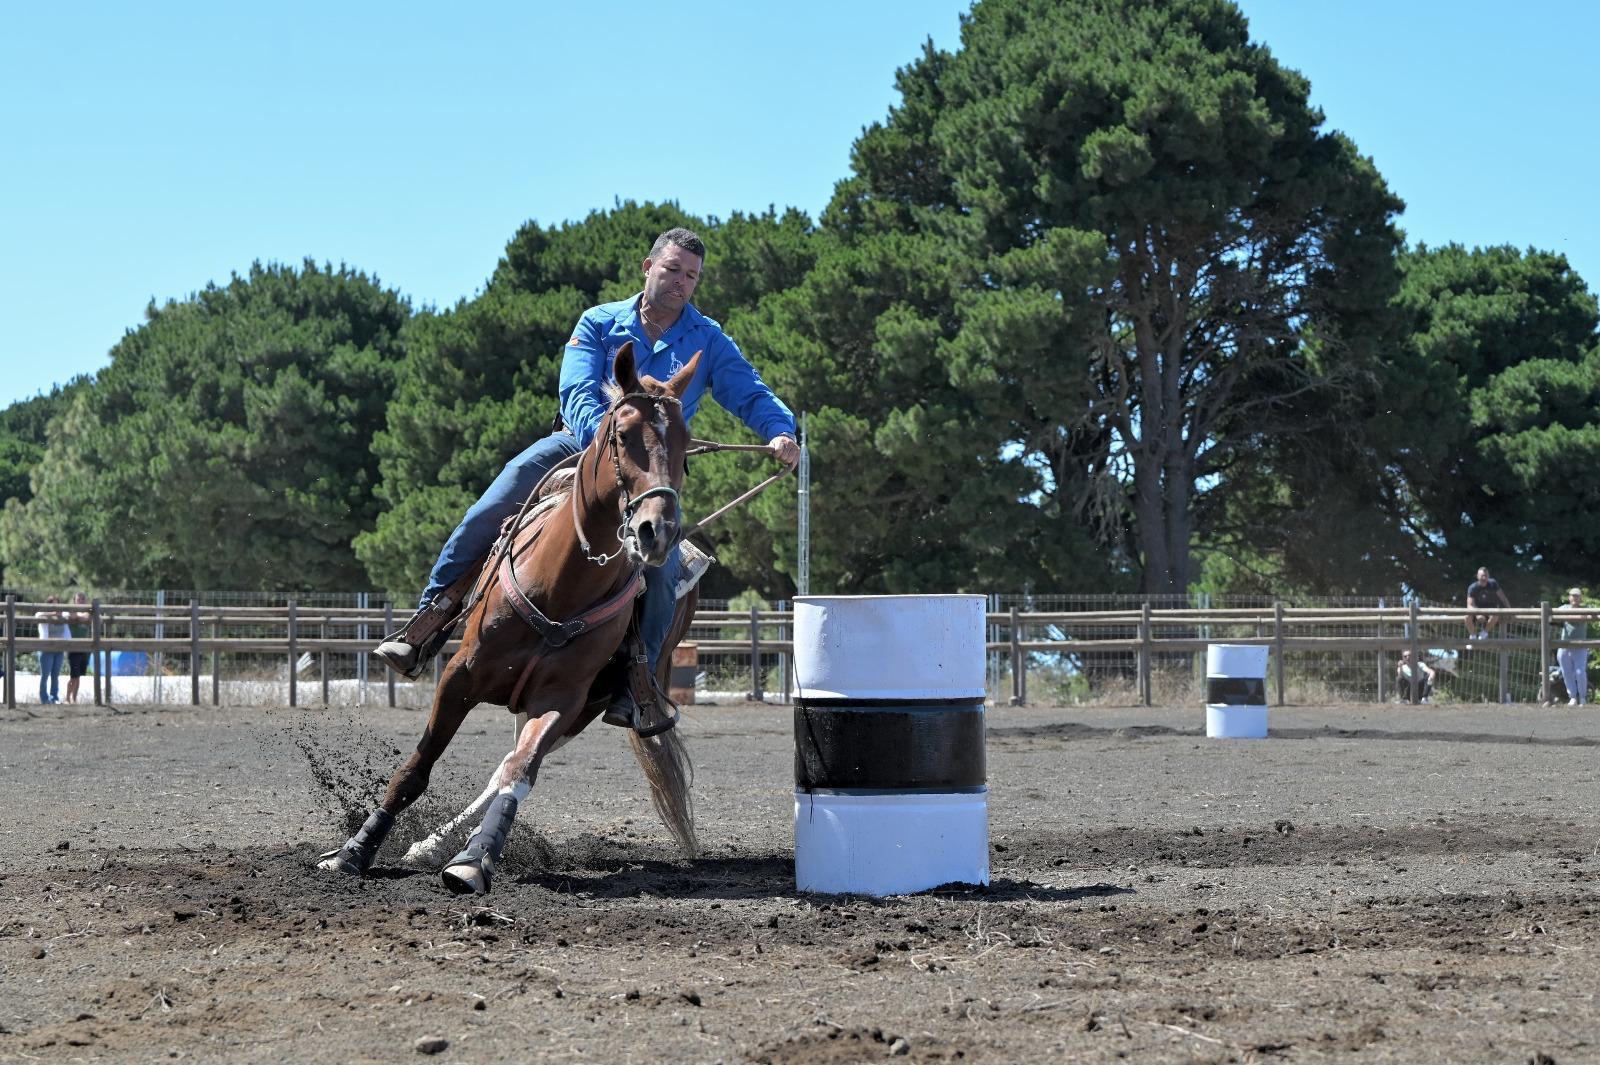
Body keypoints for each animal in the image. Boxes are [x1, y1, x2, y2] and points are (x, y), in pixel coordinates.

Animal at [318, 343, 700, 889]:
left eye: (686, 448)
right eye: (623, 436)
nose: (657, 531)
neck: (560, 586)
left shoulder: (562, 699)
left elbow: (519, 772)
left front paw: (475, 859)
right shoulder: (459, 676)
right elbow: (416, 768)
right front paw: (354, 850)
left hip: (586, 709)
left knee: (506, 765)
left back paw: (444, 845)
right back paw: (423, 844)